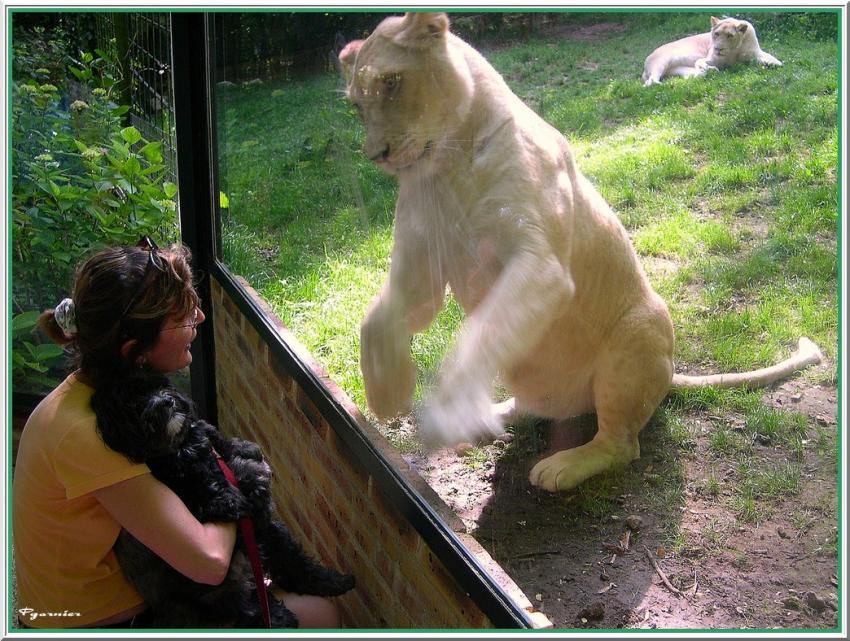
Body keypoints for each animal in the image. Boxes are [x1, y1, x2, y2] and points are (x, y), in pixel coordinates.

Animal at [92, 370, 354, 624]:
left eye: (157, 386)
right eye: (135, 403)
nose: (166, 401)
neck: (183, 444)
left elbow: (230, 447)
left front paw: (247, 457)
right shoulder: (186, 485)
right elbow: (215, 489)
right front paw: (239, 488)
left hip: (269, 538)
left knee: (293, 564)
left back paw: (334, 582)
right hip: (226, 581)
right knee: (250, 605)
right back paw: (280, 618)